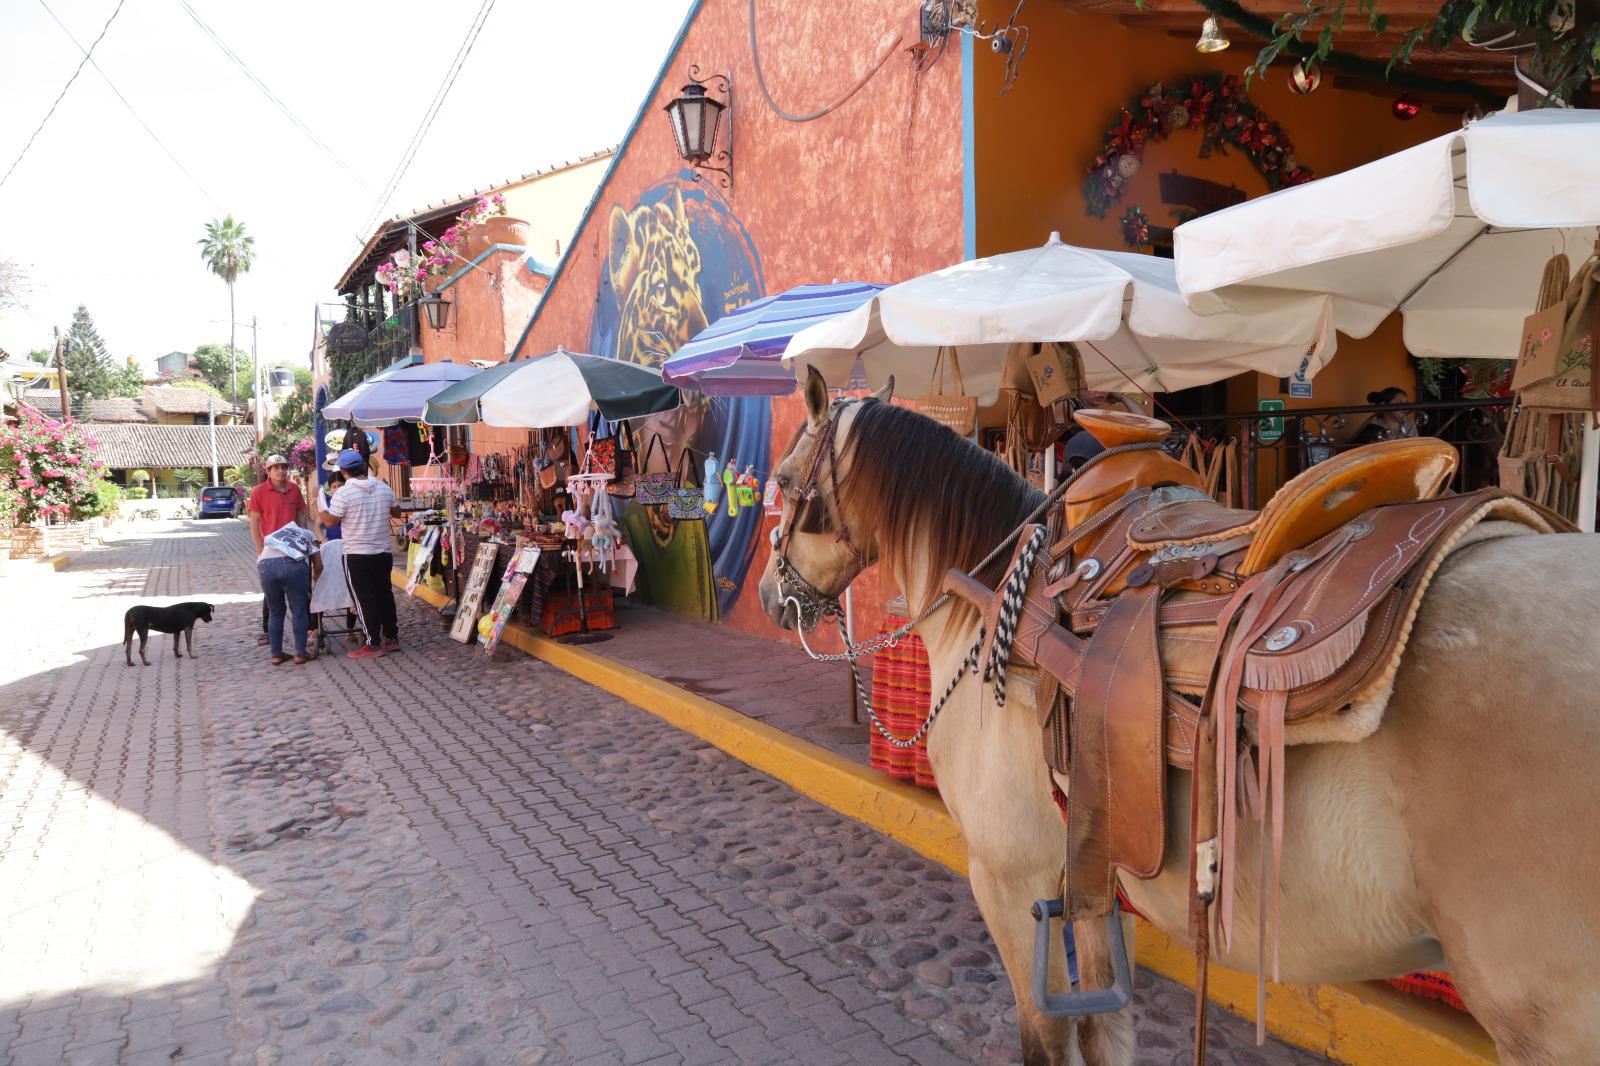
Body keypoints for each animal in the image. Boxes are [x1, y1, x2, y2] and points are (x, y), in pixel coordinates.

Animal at [755, 368, 1600, 1062]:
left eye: (787, 479)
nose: (770, 596)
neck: (991, 603)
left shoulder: (1005, 876)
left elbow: (1046, 1039)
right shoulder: (1090, 877)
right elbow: (1106, 1033)